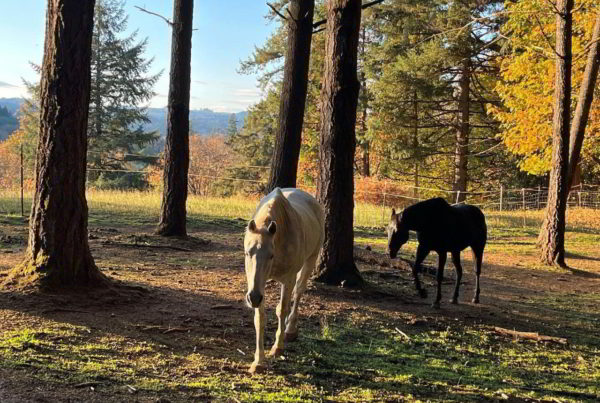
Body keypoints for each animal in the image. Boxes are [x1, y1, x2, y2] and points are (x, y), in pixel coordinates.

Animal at [243, 188, 324, 374]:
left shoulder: (287, 279)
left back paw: (291, 330)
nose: (253, 298)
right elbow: (260, 318)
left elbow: (282, 309)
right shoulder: (257, 285)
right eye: (247, 253)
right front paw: (258, 361)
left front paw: (277, 348)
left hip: (311, 259)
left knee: (299, 291)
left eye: (271, 255)